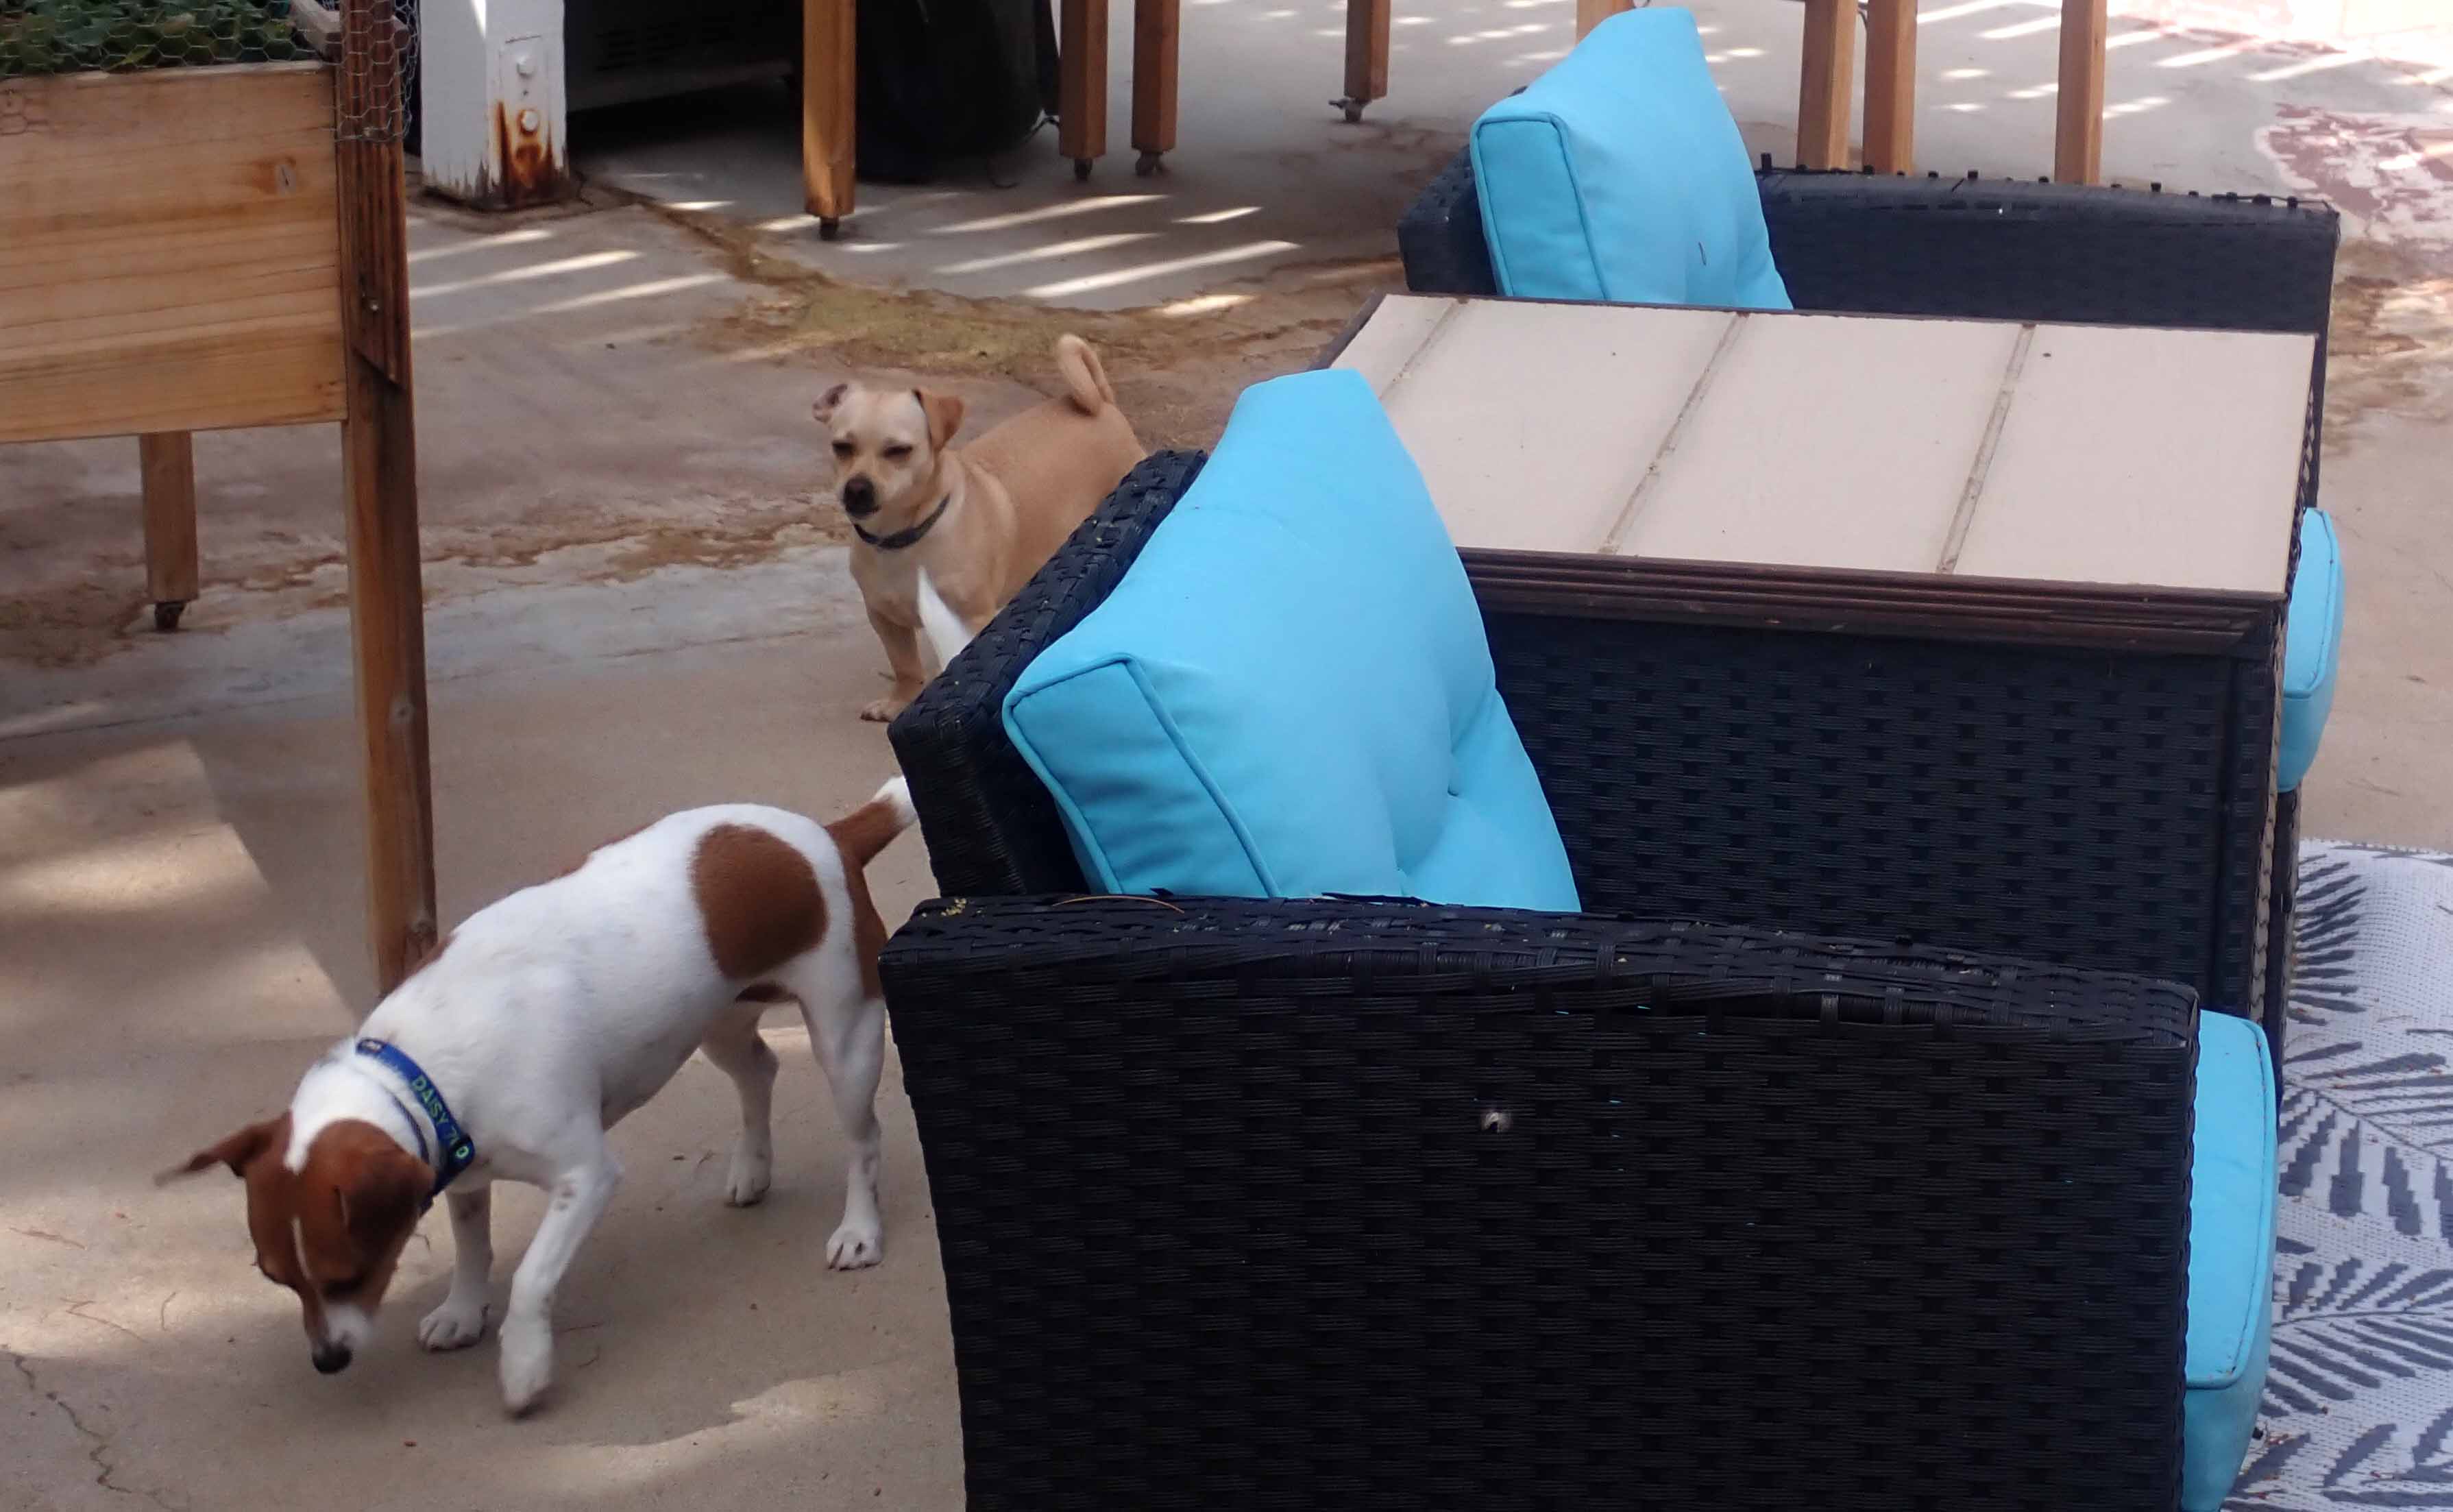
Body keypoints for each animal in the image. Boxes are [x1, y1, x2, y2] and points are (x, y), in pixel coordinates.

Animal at [162, 781, 916, 1415]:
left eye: (349, 1275)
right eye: (278, 1279)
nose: (327, 1360)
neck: (420, 1063)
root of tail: (829, 834)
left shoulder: (585, 1177)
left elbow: (530, 1278)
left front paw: (524, 1366)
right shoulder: (462, 1172)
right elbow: (474, 1252)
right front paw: (463, 1311)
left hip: (844, 1040)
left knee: (863, 1141)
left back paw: (858, 1230)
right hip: (719, 1025)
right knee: (758, 1071)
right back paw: (752, 1169)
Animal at [818, 334, 1145, 722]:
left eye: (899, 451)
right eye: (841, 447)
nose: (856, 488)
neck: (902, 539)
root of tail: (1103, 403)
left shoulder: (970, 619)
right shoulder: (884, 618)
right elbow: (905, 665)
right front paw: (900, 701)